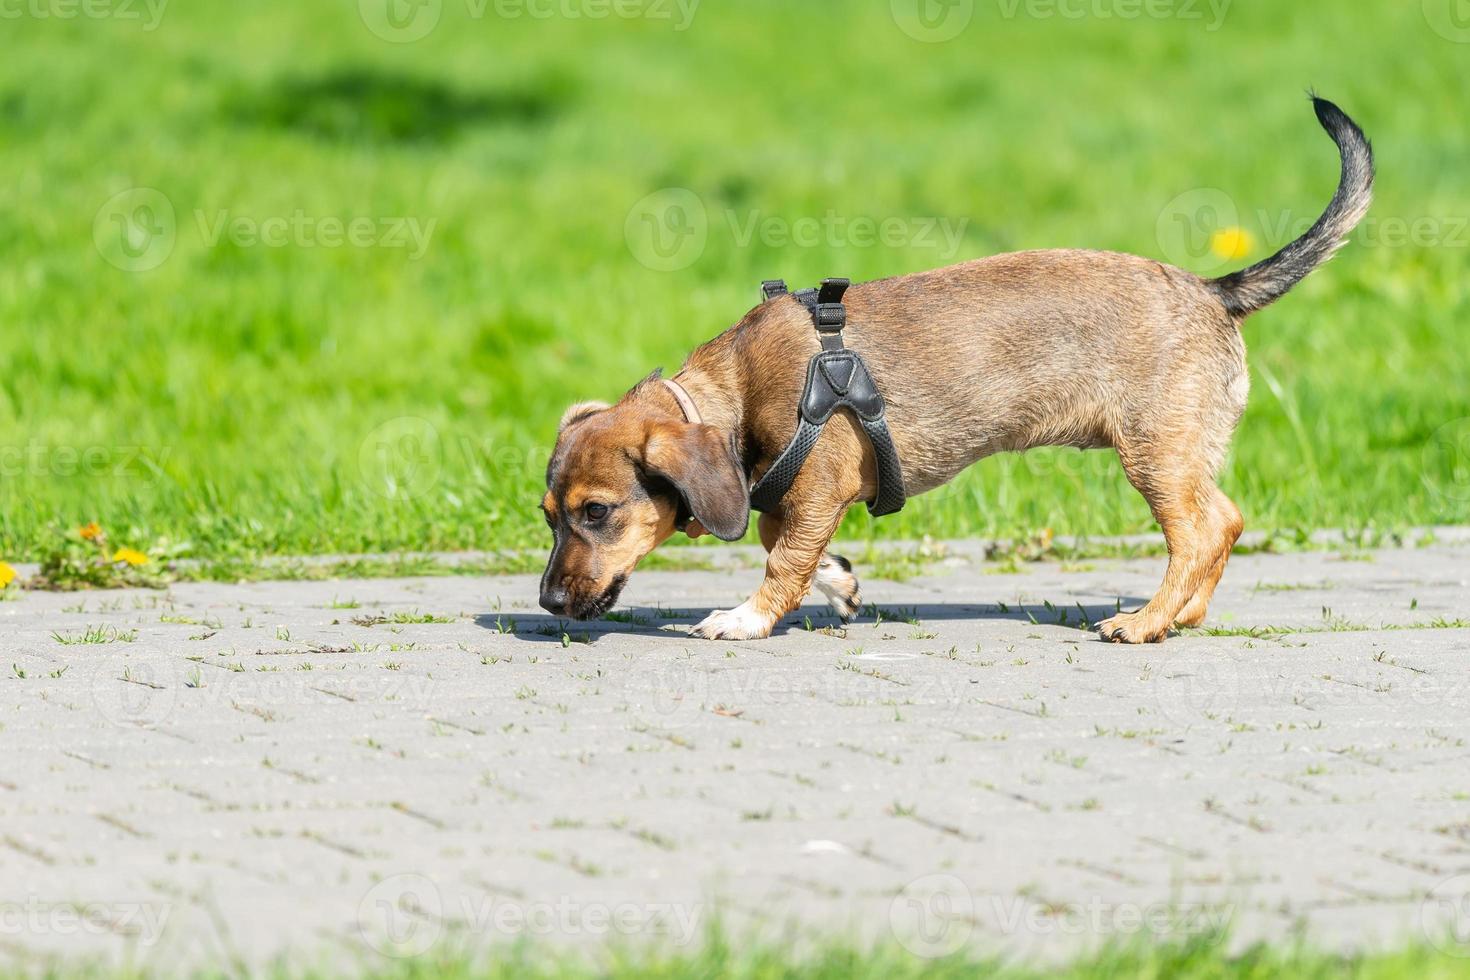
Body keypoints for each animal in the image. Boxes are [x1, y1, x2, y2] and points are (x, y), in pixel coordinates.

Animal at [543, 95, 1375, 640]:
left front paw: (744, 618)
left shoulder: (817, 489)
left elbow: (781, 561)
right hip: (1184, 451)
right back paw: (1186, 614)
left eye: (598, 512)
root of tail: (1213, 289)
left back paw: (1144, 622)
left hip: (1154, 453)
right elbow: (789, 546)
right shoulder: (791, 499)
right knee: (1225, 520)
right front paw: (839, 583)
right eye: (549, 516)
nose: (547, 604)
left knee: (1199, 534)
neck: (735, 393)